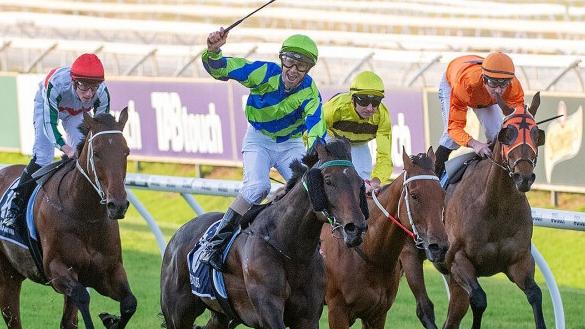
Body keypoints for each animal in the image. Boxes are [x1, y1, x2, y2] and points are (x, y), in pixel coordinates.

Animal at [0, 109, 136, 328]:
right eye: (96, 153)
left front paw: (110, 319)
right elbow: (82, 297)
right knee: (12, 316)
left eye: (126, 151)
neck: (84, 216)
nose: (118, 205)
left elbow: (129, 302)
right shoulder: (56, 270)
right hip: (7, 275)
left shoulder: (108, 272)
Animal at [160, 139, 368, 328]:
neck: (291, 249)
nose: (355, 228)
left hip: (220, 314)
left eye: (359, 182)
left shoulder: (307, 317)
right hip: (178, 313)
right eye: (328, 181)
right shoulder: (268, 310)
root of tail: (178, 235)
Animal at [438, 93, 548, 328]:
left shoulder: (519, 260)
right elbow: (479, 299)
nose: (524, 177)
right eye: (508, 134)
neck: (496, 207)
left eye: (537, 134)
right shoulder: (458, 260)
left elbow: (535, 294)